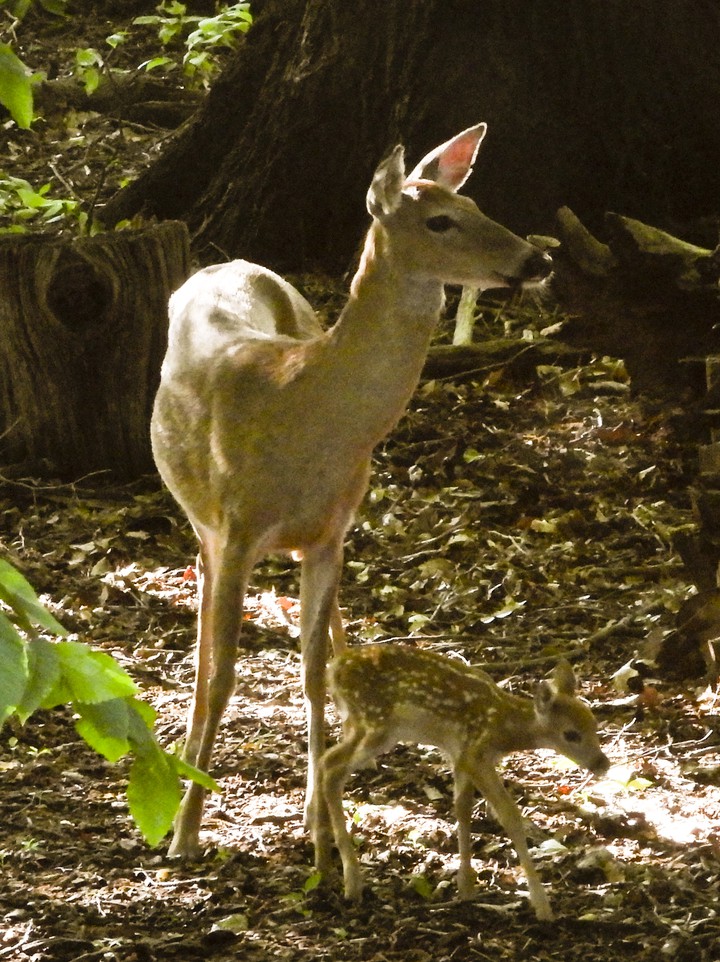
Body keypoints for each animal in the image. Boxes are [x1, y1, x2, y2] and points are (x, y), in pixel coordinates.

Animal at [150, 123, 552, 861]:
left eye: (475, 202)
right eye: (440, 220)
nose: (535, 259)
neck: (308, 409)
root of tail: (227, 263)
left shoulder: (331, 535)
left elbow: (311, 671)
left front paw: (316, 819)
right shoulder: (238, 526)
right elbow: (224, 679)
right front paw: (186, 833)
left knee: (323, 639)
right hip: (206, 517)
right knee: (202, 622)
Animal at [317, 645, 609, 920]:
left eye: (594, 724)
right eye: (570, 734)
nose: (602, 763)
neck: (503, 726)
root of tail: (333, 669)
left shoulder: (459, 754)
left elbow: (462, 808)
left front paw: (466, 887)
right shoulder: (474, 754)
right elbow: (509, 816)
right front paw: (542, 906)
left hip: (363, 725)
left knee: (325, 761)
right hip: (375, 722)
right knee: (332, 767)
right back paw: (352, 883)